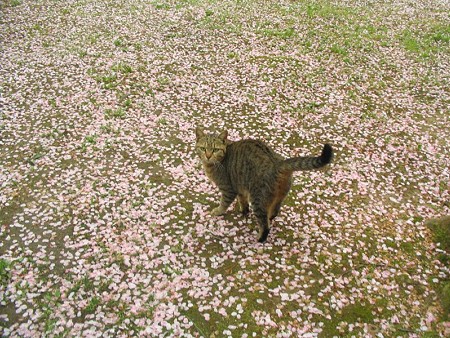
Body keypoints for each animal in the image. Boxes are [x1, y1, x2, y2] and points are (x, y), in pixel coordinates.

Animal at [195, 127, 332, 243]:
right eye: (203, 148)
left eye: (215, 150)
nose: (208, 156)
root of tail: (277, 163)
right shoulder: (240, 187)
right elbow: (242, 200)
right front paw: (244, 210)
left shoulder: (228, 188)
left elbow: (224, 203)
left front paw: (218, 211)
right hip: (279, 195)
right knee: (274, 211)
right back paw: (270, 217)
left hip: (257, 199)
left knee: (265, 225)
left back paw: (260, 239)